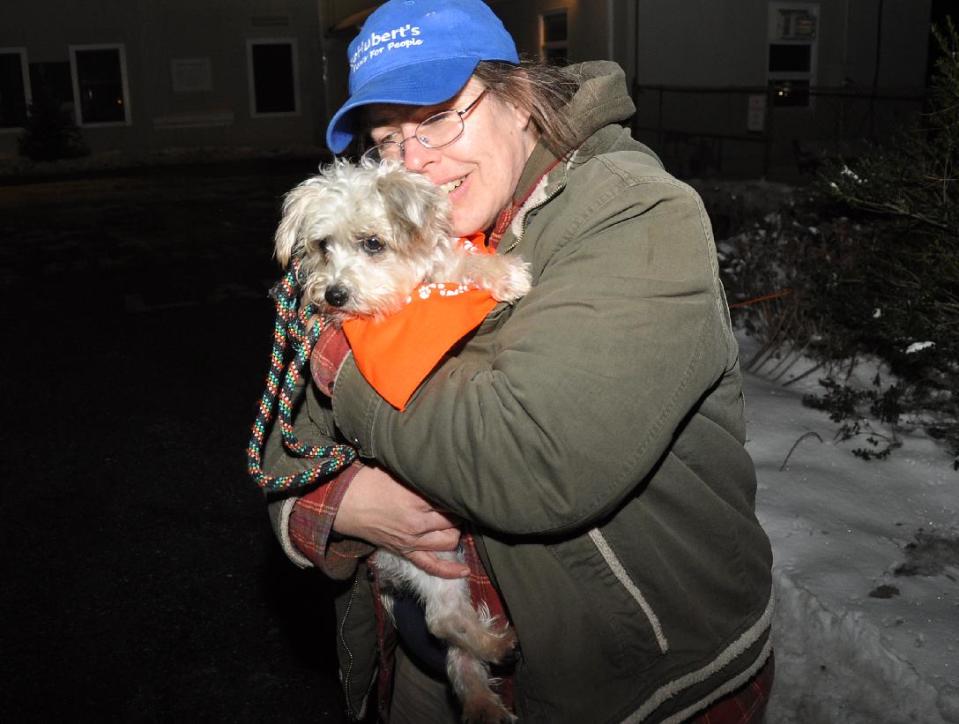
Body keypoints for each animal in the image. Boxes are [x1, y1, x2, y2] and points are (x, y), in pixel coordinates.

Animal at [274, 160, 528, 724]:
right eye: (321, 245)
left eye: (372, 243)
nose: (333, 295)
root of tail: (388, 569)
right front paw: (506, 274)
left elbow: (454, 258)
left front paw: (492, 270)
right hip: (437, 561)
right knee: (442, 626)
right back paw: (497, 648)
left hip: (446, 563)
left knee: (450, 640)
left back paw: (486, 692)